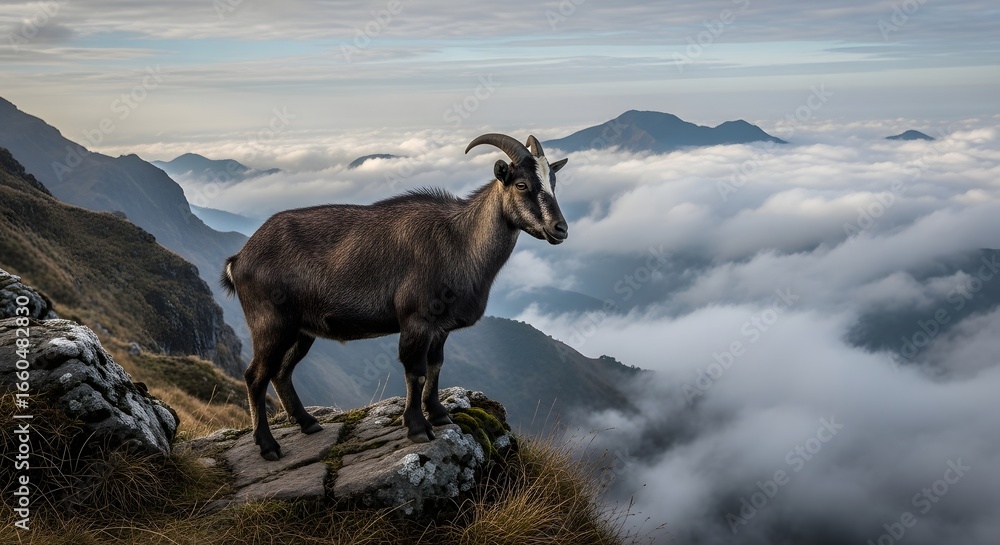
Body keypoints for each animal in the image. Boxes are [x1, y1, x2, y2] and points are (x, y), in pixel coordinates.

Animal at [221, 133, 569, 460]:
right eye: (521, 184)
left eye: (553, 182)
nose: (560, 229)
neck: (460, 241)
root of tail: (239, 260)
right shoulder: (416, 320)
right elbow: (416, 371)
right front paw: (417, 428)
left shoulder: (440, 328)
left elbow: (436, 366)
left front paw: (440, 415)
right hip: (271, 326)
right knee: (255, 376)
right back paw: (268, 446)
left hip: (302, 330)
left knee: (282, 373)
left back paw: (308, 423)